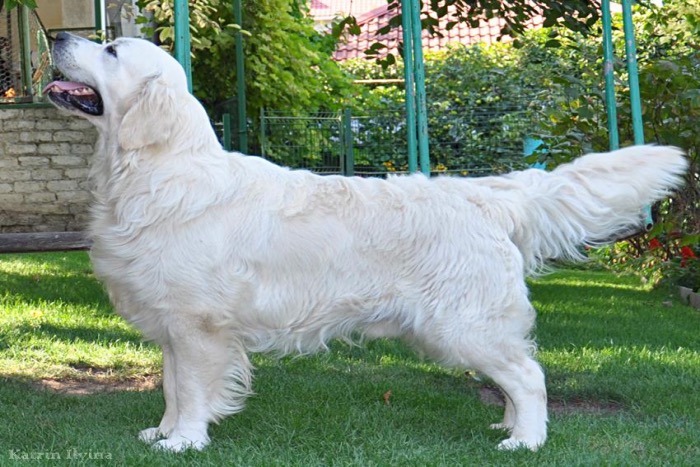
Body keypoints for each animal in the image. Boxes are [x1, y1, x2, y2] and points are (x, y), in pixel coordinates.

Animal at [45, 32, 688, 454]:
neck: (153, 172)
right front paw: (163, 431)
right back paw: (507, 426)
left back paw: (526, 441)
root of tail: (485, 195)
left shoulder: (199, 324)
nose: (55, 33)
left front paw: (185, 442)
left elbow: (195, 390)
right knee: (516, 374)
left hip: (461, 325)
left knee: (530, 376)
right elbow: (173, 385)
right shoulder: (174, 325)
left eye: (111, 50)